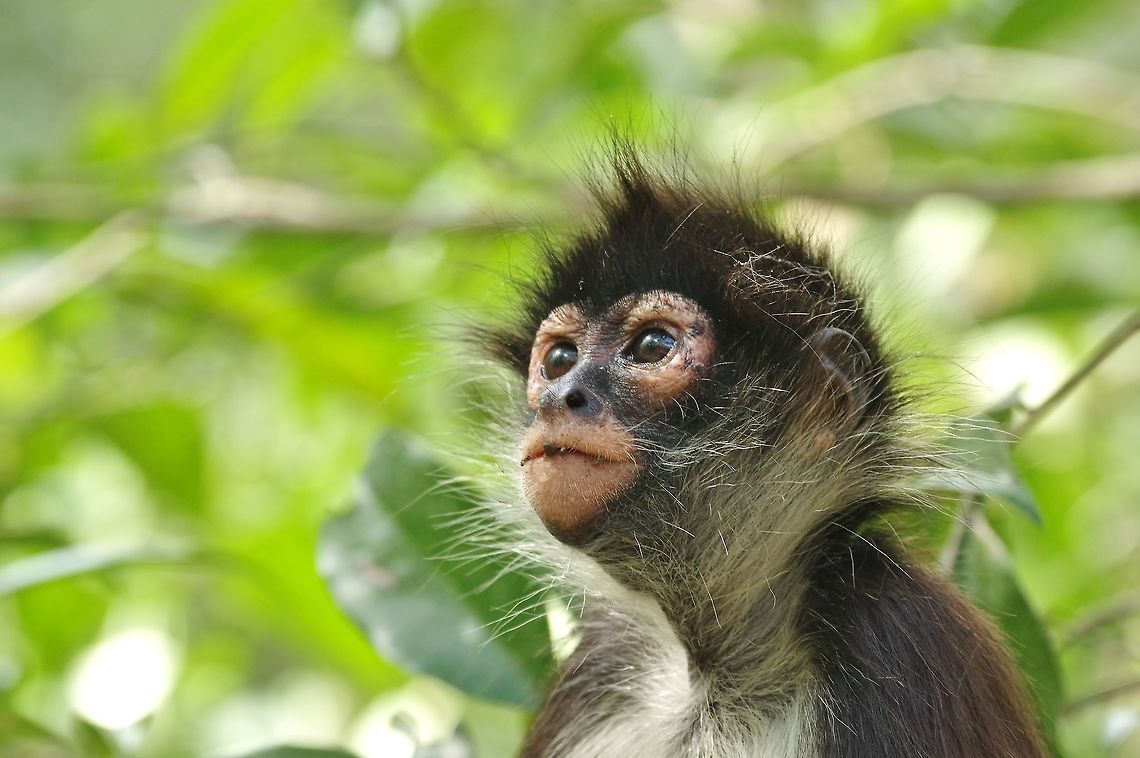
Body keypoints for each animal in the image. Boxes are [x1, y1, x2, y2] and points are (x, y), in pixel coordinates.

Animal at [479, 148, 1046, 758]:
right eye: (559, 359)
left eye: (653, 346)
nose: (562, 397)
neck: (715, 669)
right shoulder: (604, 661)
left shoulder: (899, 627)